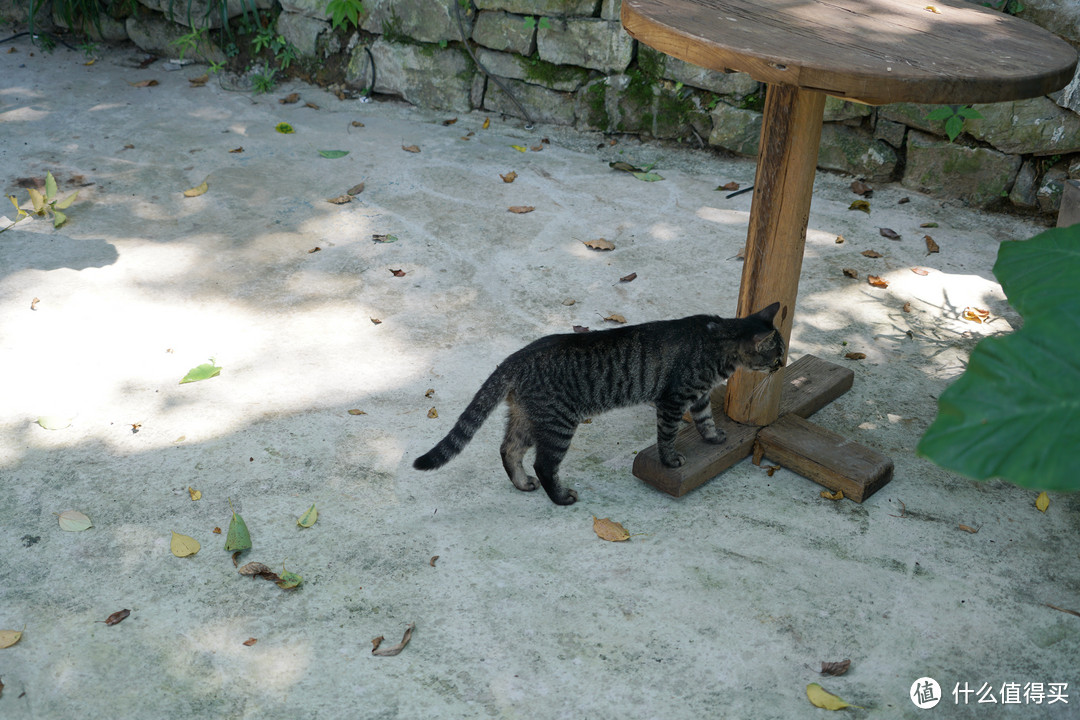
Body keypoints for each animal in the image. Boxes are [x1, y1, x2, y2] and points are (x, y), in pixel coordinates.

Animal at [414, 302, 786, 505]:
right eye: (777, 355)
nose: (783, 366)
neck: (716, 341)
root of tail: (515, 358)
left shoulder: (700, 395)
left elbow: (706, 418)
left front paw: (714, 437)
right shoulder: (672, 400)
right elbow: (667, 435)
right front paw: (669, 460)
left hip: (526, 418)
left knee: (509, 449)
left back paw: (521, 484)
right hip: (558, 423)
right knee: (543, 464)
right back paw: (561, 498)